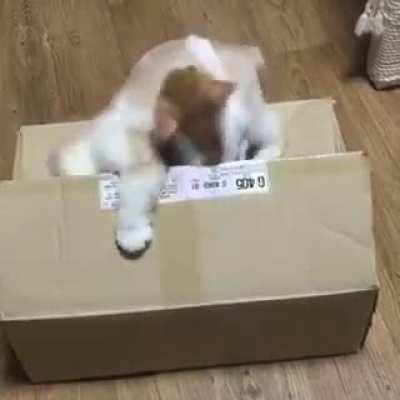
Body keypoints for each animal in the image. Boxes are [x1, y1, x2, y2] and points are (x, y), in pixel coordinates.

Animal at [49, 35, 281, 258]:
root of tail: (242, 50)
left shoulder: (145, 166)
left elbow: (133, 198)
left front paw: (130, 235)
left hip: (250, 116)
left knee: (273, 127)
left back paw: (265, 154)